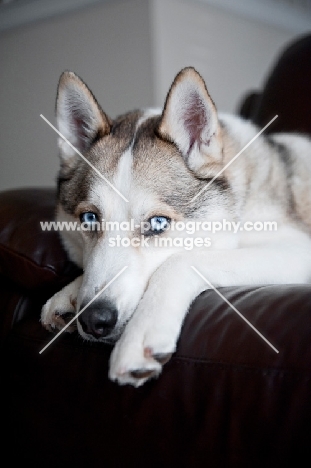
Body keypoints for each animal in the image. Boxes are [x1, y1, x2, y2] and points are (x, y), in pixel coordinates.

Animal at [40, 66, 311, 388]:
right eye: (90, 219)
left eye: (158, 223)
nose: (95, 319)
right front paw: (68, 292)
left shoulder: (298, 248)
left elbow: (179, 262)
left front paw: (141, 335)